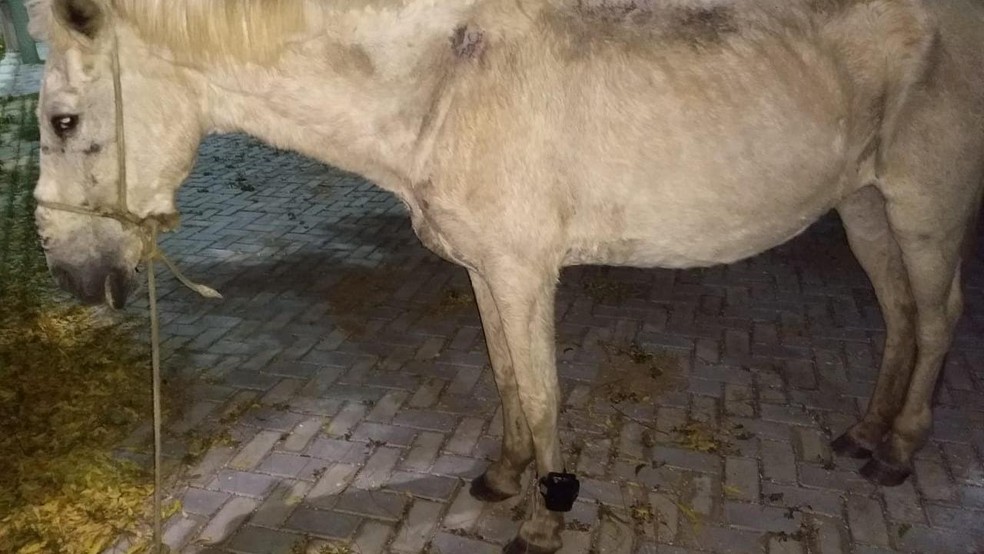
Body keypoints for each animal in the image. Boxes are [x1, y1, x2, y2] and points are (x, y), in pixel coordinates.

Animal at [28, 0, 984, 551]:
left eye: (63, 120)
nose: (73, 276)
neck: (443, 89)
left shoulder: (526, 274)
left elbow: (544, 390)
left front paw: (542, 517)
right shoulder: (490, 271)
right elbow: (508, 379)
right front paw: (504, 475)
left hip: (923, 209)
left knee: (937, 316)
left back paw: (899, 450)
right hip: (864, 205)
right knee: (899, 314)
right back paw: (864, 432)